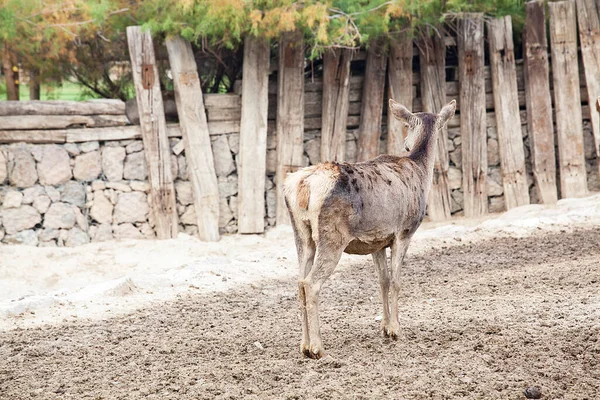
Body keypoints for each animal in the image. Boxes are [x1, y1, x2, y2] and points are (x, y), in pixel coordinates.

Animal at [282, 97, 454, 360]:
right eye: (406, 126)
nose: (405, 145)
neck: (420, 169)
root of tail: (303, 185)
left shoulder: (377, 241)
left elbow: (382, 280)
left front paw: (384, 327)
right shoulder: (404, 231)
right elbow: (396, 281)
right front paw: (396, 330)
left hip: (301, 233)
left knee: (299, 281)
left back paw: (303, 345)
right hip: (332, 236)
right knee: (311, 283)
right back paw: (317, 348)